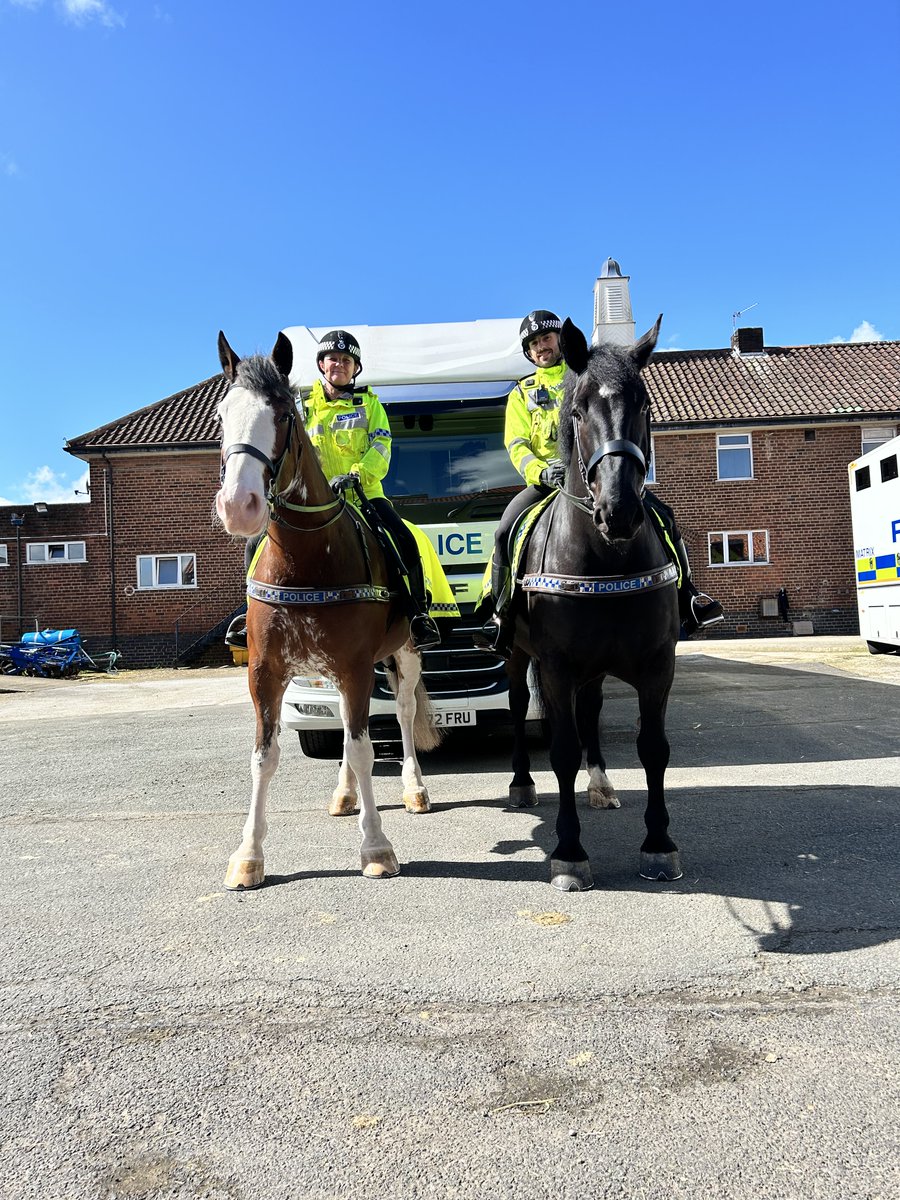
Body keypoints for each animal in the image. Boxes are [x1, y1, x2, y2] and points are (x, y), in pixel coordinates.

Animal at [508, 316, 681, 892]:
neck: (605, 559)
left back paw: (601, 784)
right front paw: (568, 853)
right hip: (518, 658)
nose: (618, 510)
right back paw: (521, 784)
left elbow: (653, 748)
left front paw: (659, 844)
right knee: (516, 708)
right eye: (579, 410)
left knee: (593, 711)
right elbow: (561, 752)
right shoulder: (556, 667)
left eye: (644, 404)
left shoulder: (657, 665)